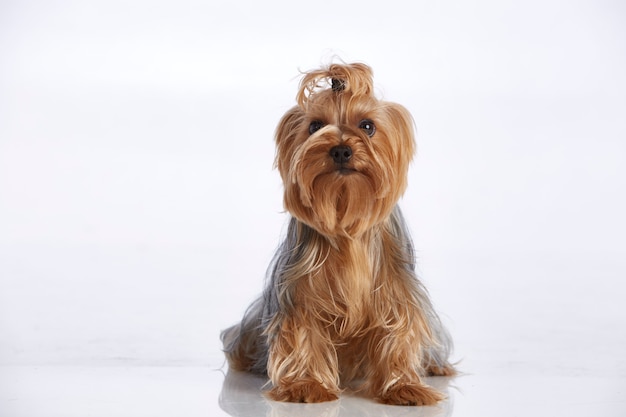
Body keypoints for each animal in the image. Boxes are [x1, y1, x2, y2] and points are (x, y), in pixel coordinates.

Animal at [221, 61, 454, 404]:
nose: (341, 149)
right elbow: (302, 330)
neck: (344, 211)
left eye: (367, 126)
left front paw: (403, 386)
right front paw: (306, 384)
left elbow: (398, 330)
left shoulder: (395, 289)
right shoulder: (298, 292)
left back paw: (435, 366)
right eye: (315, 126)